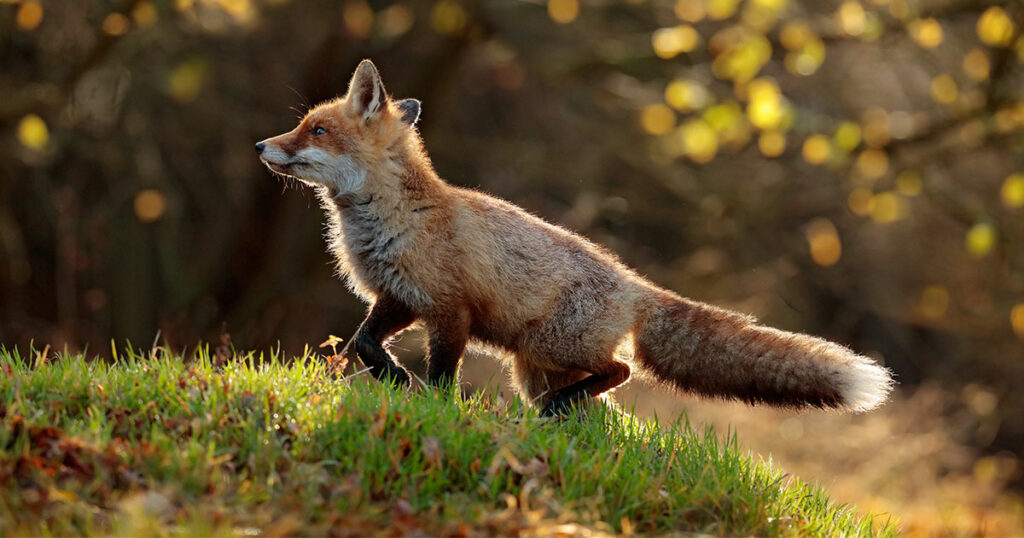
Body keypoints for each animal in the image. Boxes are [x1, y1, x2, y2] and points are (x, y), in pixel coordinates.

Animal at [255, 59, 893, 417]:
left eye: (316, 130)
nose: (261, 146)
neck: (395, 221)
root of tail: (636, 284)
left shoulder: (450, 310)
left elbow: (441, 379)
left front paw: (430, 403)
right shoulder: (400, 298)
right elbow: (363, 343)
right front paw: (392, 377)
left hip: (550, 350)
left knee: (621, 373)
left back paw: (564, 411)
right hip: (535, 367)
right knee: (607, 407)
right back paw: (567, 420)